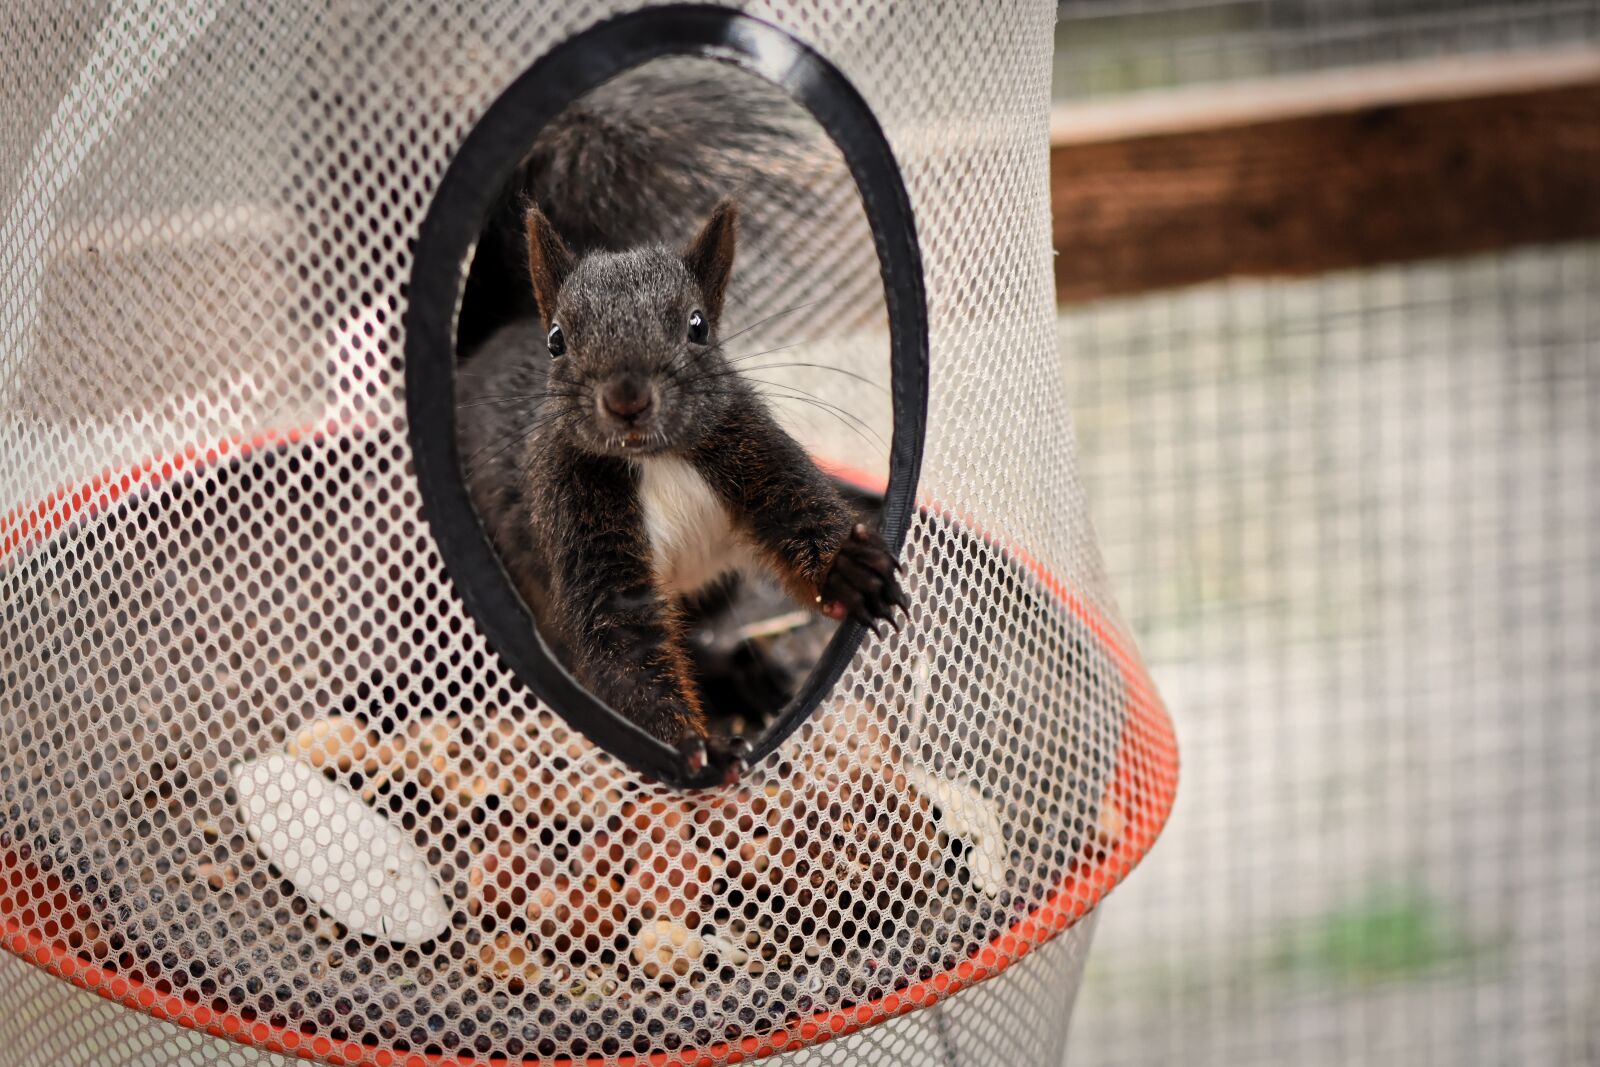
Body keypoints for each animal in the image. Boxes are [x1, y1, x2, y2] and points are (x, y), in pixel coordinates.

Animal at [455, 66, 906, 778]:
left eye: (698, 326)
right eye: (558, 340)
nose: (627, 398)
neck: (655, 460)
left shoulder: (750, 450)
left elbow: (800, 520)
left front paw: (851, 572)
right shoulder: (577, 520)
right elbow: (620, 645)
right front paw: (695, 748)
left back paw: (752, 677)